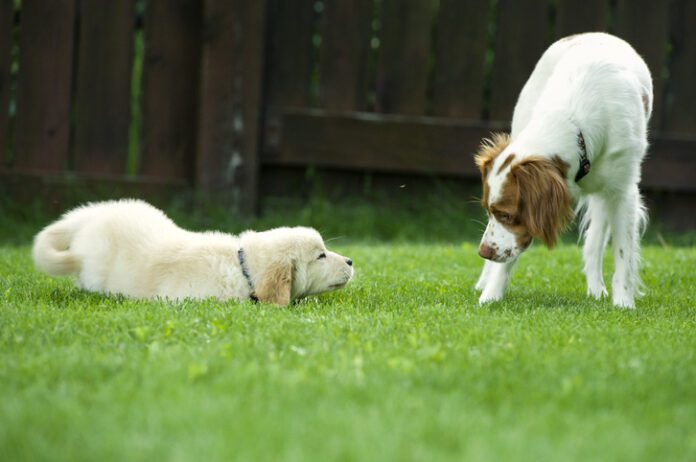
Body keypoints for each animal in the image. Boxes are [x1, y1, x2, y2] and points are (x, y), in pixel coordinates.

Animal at [474, 31, 652, 306]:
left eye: (506, 215)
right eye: (490, 211)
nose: (483, 252)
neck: (575, 122)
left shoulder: (623, 192)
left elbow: (623, 252)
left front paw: (623, 303)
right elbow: (506, 259)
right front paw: (490, 295)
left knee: (594, 242)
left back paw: (596, 290)